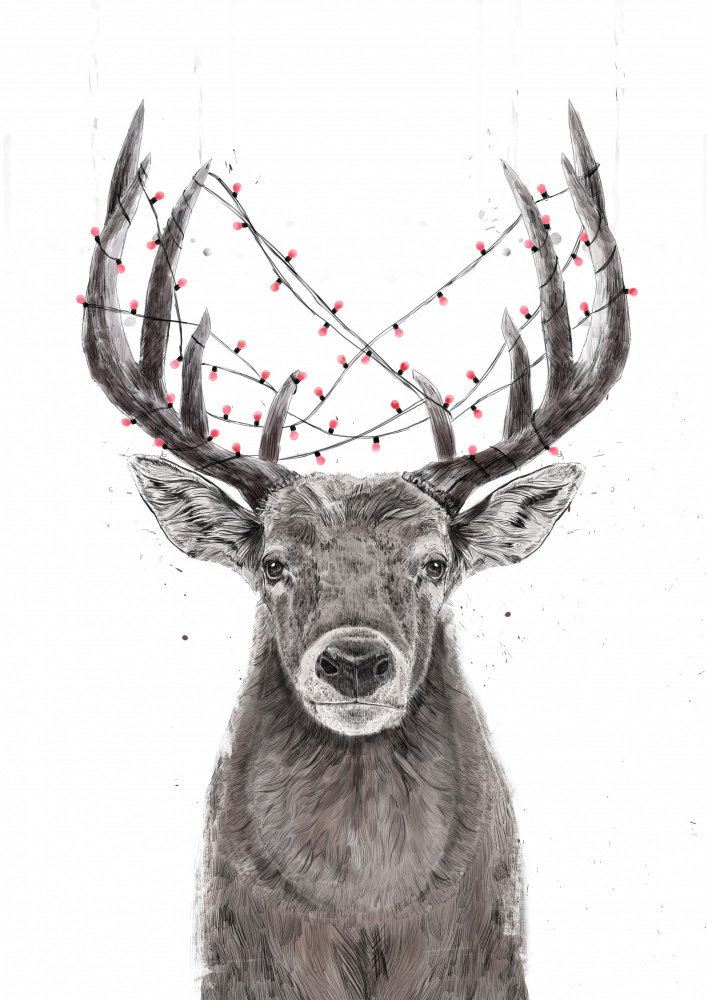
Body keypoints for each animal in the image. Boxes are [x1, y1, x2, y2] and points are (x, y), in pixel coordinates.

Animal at [81, 102, 630, 999]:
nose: (354, 663)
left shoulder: (489, 962)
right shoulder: (234, 964)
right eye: (274, 564)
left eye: (434, 563)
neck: (365, 917)